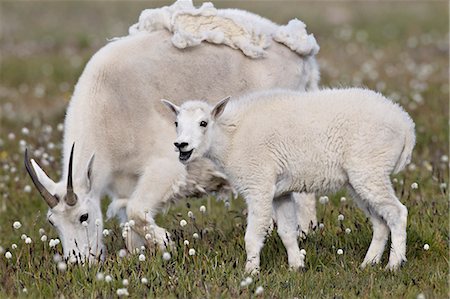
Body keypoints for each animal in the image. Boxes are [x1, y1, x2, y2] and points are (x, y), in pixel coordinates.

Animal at [23, 0, 320, 262]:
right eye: (52, 222)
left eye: (83, 216)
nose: (79, 262)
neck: (110, 109)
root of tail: (303, 56)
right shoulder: (125, 182)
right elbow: (129, 220)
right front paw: (140, 256)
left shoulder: (165, 165)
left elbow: (136, 211)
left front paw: (167, 243)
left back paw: (304, 232)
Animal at [163, 88, 416, 274]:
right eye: (176, 123)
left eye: (203, 123)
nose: (181, 145)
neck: (231, 138)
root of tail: (406, 125)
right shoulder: (279, 192)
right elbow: (286, 232)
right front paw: (297, 267)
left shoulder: (259, 184)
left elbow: (253, 236)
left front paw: (250, 273)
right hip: (360, 178)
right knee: (380, 222)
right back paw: (368, 264)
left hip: (370, 168)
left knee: (397, 213)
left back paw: (394, 265)